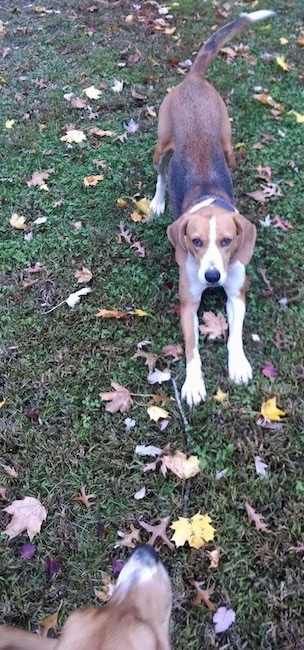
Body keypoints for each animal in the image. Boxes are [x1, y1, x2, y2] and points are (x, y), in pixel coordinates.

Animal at [151, 8, 274, 404]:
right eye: (195, 242)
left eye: (227, 241)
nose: (211, 277)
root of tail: (194, 80)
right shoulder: (188, 302)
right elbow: (191, 350)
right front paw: (192, 384)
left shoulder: (237, 293)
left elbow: (235, 334)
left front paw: (238, 365)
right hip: (162, 145)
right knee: (161, 173)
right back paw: (157, 201)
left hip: (228, 145)